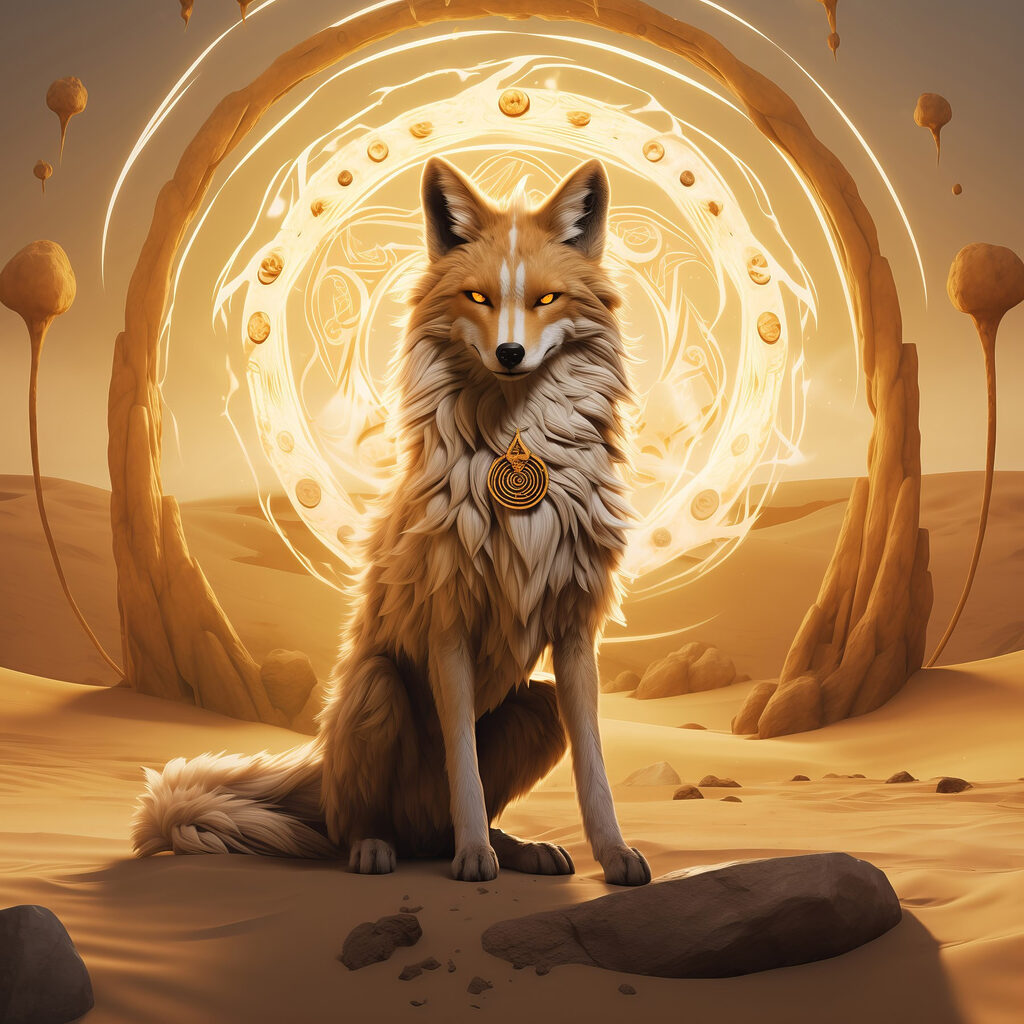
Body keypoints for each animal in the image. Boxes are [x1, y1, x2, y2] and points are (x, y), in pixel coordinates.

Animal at [132, 156, 651, 886]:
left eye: (546, 300)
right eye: (478, 297)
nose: (510, 353)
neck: (517, 447)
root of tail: (319, 776)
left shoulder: (575, 630)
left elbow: (595, 769)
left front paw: (613, 853)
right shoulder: (448, 626)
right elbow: (462, 765)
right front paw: (474, 859)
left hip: (539, 703)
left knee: (440, 826)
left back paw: (517, 847)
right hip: (378, 689)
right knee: (367, 824)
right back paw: (378, 849)